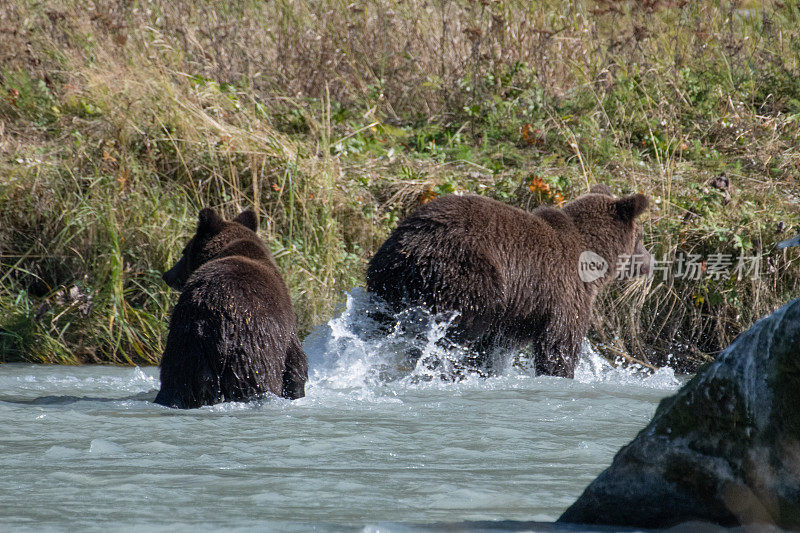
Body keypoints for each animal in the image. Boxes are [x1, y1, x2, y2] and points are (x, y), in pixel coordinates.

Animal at [155, 208, 308, 408]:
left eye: (183, 251)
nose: (167, 275)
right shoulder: (285, 326)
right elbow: (296, 364)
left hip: (185, 349)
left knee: (175, 382)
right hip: (251, 354)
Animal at [368, 185, 648, 376]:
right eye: (641, 237)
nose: (649, 261)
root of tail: (412, 245)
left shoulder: (518, 311)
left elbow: (493, 347)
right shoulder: (565, 293)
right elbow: (559, 344)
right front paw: (561, 373)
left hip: (385, 279)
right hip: (465, 276)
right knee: (458, 330)